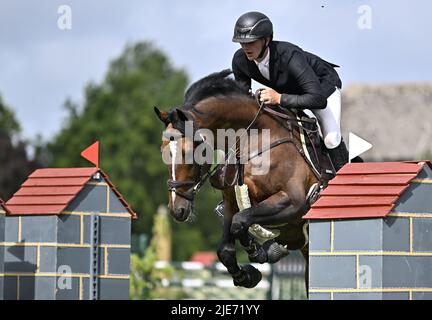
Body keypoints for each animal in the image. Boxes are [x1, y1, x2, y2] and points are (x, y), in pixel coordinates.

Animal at [155, 70, 320, 290]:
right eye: (163, 152)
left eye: (188, 152)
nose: (176, 210)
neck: (256, 138)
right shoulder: (231, 203)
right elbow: (228, 244)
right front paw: (247, 275)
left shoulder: (293, 203)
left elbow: (241, 220)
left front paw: (260, 252)